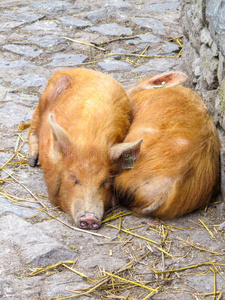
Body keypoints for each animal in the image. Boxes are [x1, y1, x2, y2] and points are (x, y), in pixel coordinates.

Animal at [26, 68, 140, 230]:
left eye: (104, 182)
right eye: (74, 178)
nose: (90, 218)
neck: (91, 141)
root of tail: (79, 69)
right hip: (46, 97)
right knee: (34, 123)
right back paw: (33, 161)